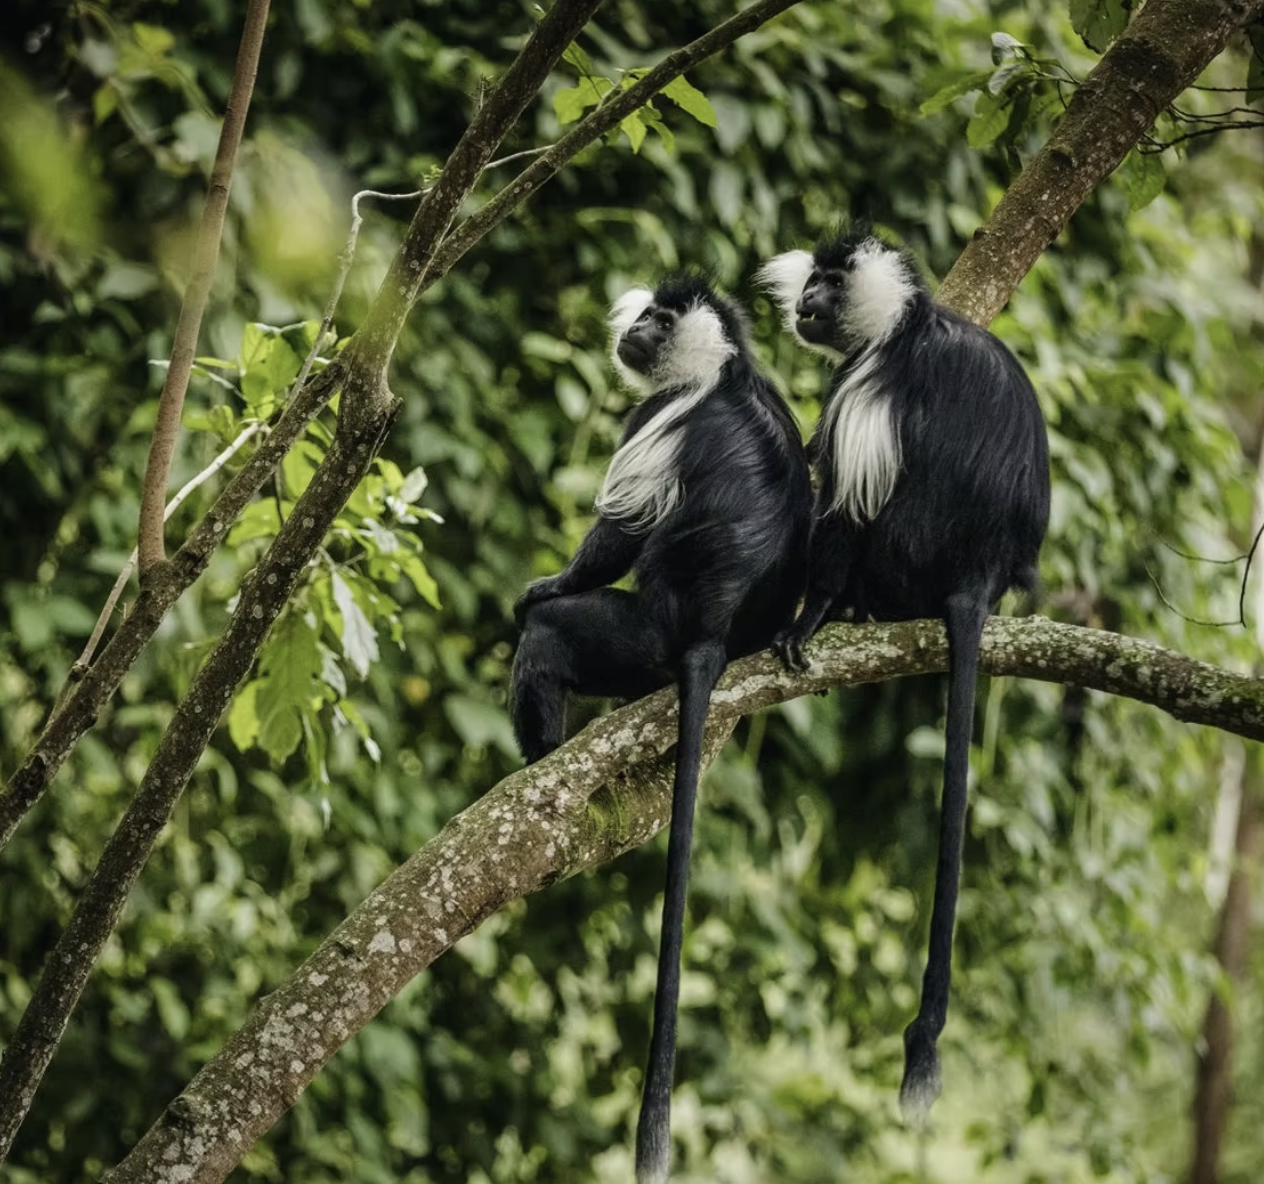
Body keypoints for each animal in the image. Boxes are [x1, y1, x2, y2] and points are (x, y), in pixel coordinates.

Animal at [511, 275, 812, 1182]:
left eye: (661, 320)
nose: (636, 328)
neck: (722, 367)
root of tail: (710, 630)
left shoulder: (658, 417)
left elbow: (618, 534)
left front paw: (546, 584)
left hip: (638, 636)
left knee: (554, 640)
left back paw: (539, 759)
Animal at [758, 229, 1050, 1120]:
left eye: (827, 284)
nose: (804, 302)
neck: (905, 323)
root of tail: (977, 574)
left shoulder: (868, 385)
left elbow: (844, 506)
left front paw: (808, 619)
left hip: (905, 555)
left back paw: (848, 611)